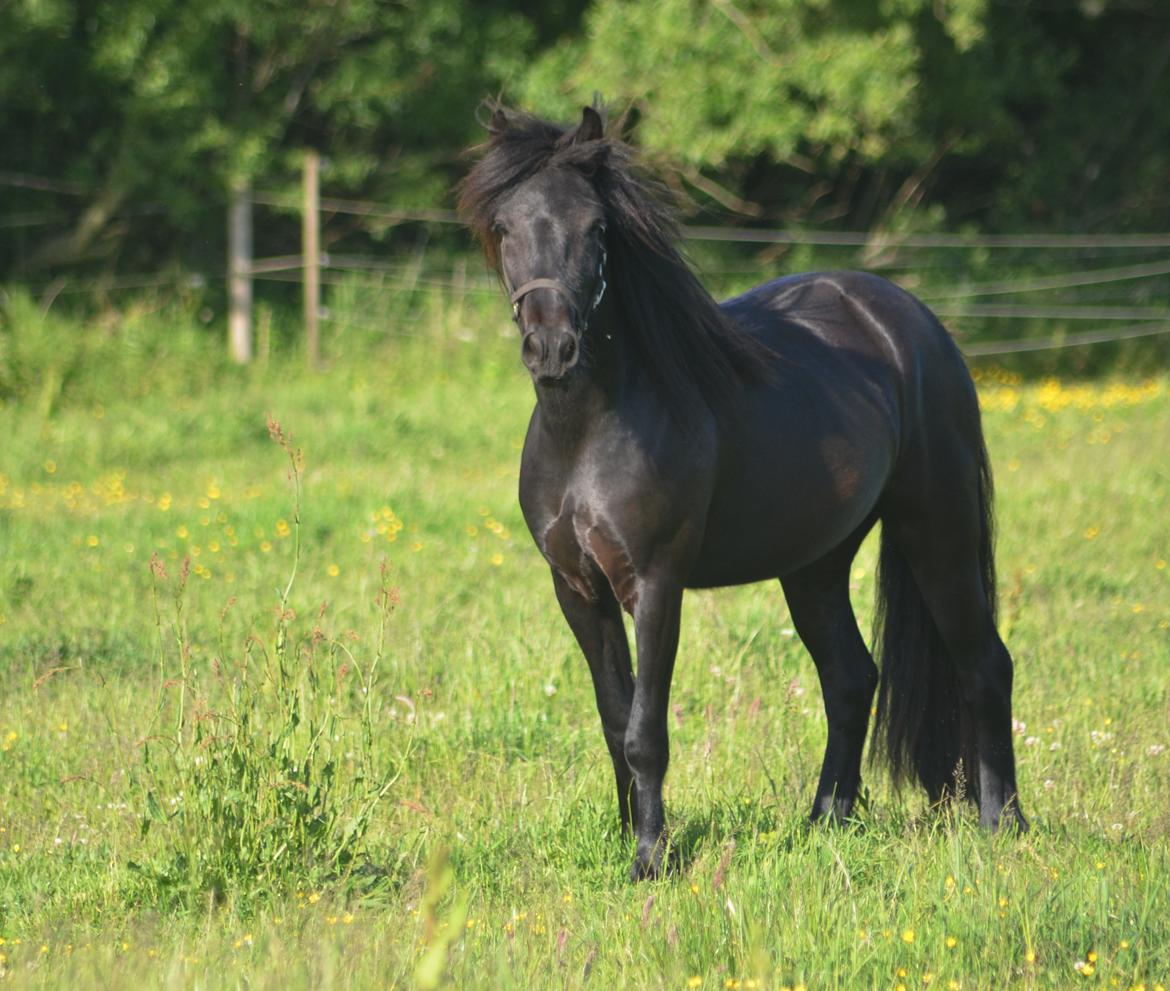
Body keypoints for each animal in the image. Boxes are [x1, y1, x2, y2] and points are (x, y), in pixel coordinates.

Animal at [456, 104, 1024, 879]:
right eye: (507, 225)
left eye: (596, 228)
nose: (552, 349)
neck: (589, 430)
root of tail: (915, 324)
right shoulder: (576, 590)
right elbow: (613, 718)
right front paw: (630, 838)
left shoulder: (655, 586)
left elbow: (645, 730)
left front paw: (651, 859)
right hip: (815, 564)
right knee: (851, 677)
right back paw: (827, 819)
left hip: (938, 531)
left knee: (985, 665)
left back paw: (1003, 824)